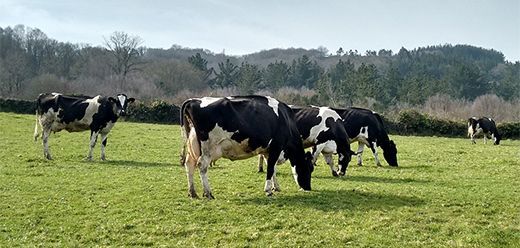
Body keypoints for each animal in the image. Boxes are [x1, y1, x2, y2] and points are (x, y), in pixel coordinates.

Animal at [182, 95, 312, 200]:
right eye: (309, 169)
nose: (308, 188)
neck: (286, 120)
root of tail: (194, 100)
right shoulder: (276, 146)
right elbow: (270, 168)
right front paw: (268, 190)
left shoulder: (268, 151)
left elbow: (272, 168)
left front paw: (276, 187)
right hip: (208, 148)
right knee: (202, 166)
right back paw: (208, 193)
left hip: (193, 145)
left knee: (189, 164)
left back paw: (192, 193)